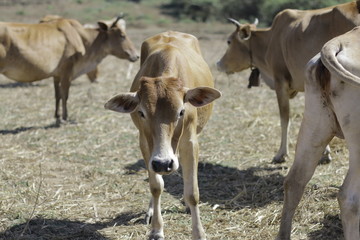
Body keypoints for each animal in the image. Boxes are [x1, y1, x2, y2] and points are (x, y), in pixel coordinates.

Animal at [0, 16, 139, 121]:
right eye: (122, 35)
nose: (136, 55)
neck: (82, 38)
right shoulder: (67, 71)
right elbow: (65, 95)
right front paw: (65, 117)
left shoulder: (57, 74)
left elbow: (57, 95)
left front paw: (57, 116)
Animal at [104, 31, 221, 240]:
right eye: (141, 112)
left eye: (181, 111)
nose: (163, 163)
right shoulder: (145, 143)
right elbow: (156, 186)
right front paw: (157, 229)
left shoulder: (190, 142)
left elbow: (193, 192)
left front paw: (198, 232)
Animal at [217, 0, 360, 163]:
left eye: (229, 41)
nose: (218, 64)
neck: (270, 39)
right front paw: (325, 153)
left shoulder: (280, 83)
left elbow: (285, 118)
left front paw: (281, 154)